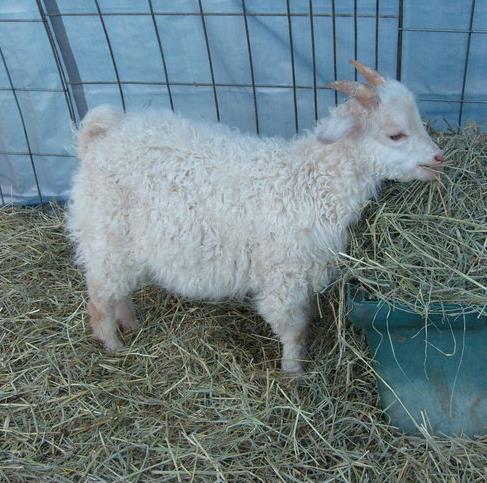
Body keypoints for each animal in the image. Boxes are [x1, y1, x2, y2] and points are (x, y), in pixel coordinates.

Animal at [67, 61, 444, 375]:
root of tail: (98, 138)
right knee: (100, 296)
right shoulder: (283, 277)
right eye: (395, 134)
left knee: (119, 291)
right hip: (105, 236)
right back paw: (114, 345)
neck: (309, 182)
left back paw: (130, 323)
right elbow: (293, 329)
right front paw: (294, 374)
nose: (439, 157)